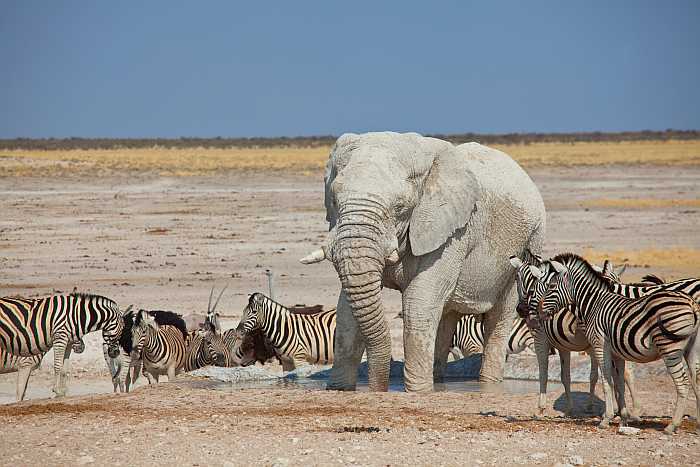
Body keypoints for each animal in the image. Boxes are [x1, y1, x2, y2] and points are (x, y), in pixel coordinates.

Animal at [298, 132, 544, 392]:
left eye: (400, 207)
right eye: (334, 201)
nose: (379, 388)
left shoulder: (453, 231)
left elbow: (419, 301)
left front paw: (417, 392)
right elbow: (346, 309)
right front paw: (339, 389)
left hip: (531, 240)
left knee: (500, 316)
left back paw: (488, 386)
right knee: (446, 316)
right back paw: (439, 382)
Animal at [508, 254, 640, 418]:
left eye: (517, 279)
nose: (522, 310)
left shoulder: (540, 339)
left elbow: (543, 372)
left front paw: (540, 408)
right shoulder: (563, 346)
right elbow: (566, 377)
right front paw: (569, 409)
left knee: (626, 373)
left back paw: (632, 410)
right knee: (622, 373)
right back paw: (623, 409)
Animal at [532, 254, 696, 434]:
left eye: (551, 286)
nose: (538, 310)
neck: (593, 304)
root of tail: (691, 303)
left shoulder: (599, 346)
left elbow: (606, 381)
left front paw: (607, 419)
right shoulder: (617, 353)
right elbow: (619, 383)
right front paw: (624, 418)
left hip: (669, 348)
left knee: (683, 382)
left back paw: (672, 425)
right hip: (691, 348)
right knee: (695, 378)